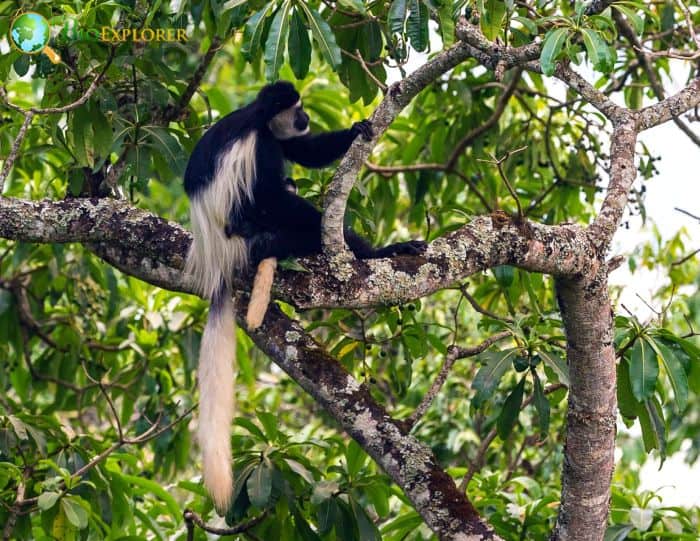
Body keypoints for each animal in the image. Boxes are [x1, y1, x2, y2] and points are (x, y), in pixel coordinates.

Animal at [183, 81, 424, 510]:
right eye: (297, 111)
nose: (306, 118)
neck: (260, 118)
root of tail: (216, 260)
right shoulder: (259, 146)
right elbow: (270, 190)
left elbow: (303, 150)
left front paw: (357, 130)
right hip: (244, 233)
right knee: (271, 206)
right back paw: (371, 252)